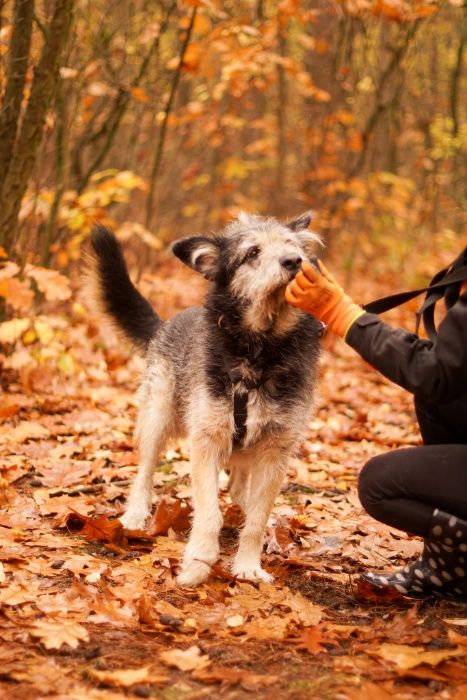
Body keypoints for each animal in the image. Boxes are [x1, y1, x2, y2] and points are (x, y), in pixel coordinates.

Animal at [87, 212, 322, 584]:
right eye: (252, 252)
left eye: (293, 246)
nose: (294, 262)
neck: (258, 351)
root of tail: (166, 322)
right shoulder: (206, 440)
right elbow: (209, 511)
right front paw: (197, 564)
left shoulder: (276, 449)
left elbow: (257, 519)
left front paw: (247, 565)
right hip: (157, 415)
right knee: (145, 471)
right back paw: (136, 514)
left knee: (240, 490)